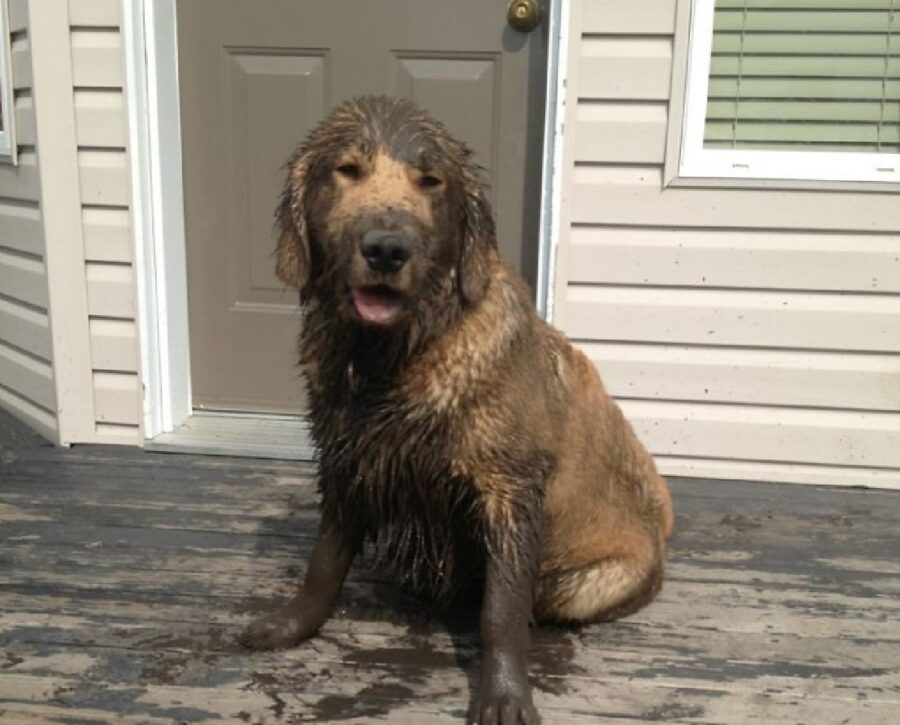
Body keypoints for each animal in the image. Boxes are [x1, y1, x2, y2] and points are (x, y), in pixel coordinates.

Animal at [243, 97, 672, 724]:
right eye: (346, 170)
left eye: (430, 181)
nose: (386, 249)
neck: (392, 355)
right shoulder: (349, 458)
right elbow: (324, 562)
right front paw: (292, 623)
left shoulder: (510, 489)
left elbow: (502, 610)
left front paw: (505, 694)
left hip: (593, 579)